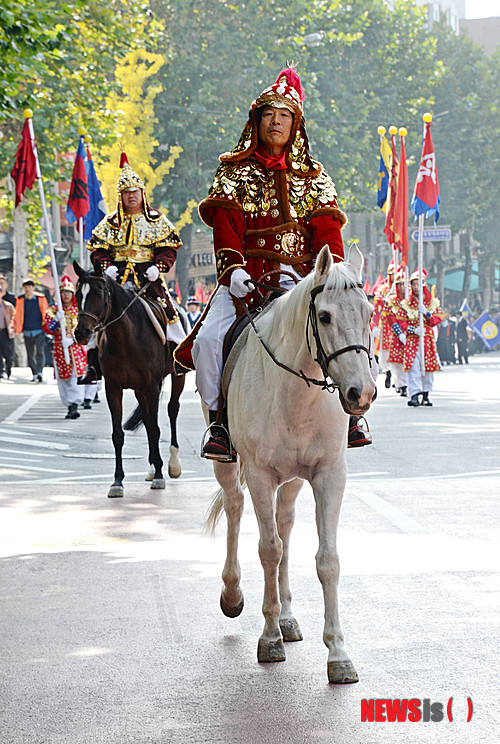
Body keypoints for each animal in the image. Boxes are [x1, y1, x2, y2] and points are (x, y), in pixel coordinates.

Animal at [72, 262, 186, 500]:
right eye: (78, 294)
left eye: (99, 293)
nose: (81, 333)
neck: (125, 338)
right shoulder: (113, 388)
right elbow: (119, 434)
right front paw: (117, 481)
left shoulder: (151, 387)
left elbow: (155, 430)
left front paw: (161, 475)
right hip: (139, 390)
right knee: (148, 417)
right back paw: (152, 467)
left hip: (175, 377)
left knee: (172, 409)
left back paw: (172, 464)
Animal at [206, 243, 376, 680]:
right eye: (325, 316)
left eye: (369, 313)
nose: (361, 393)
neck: (297, 395)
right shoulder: (260, 474)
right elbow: (268, 550)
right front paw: (268, 638)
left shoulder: (329, 473)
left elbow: (327, 560)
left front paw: (338, 652)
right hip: (229, 463)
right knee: (235, 507)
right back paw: (233, 593)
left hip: (295, 478)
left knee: (284, 524)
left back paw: (286, 616)